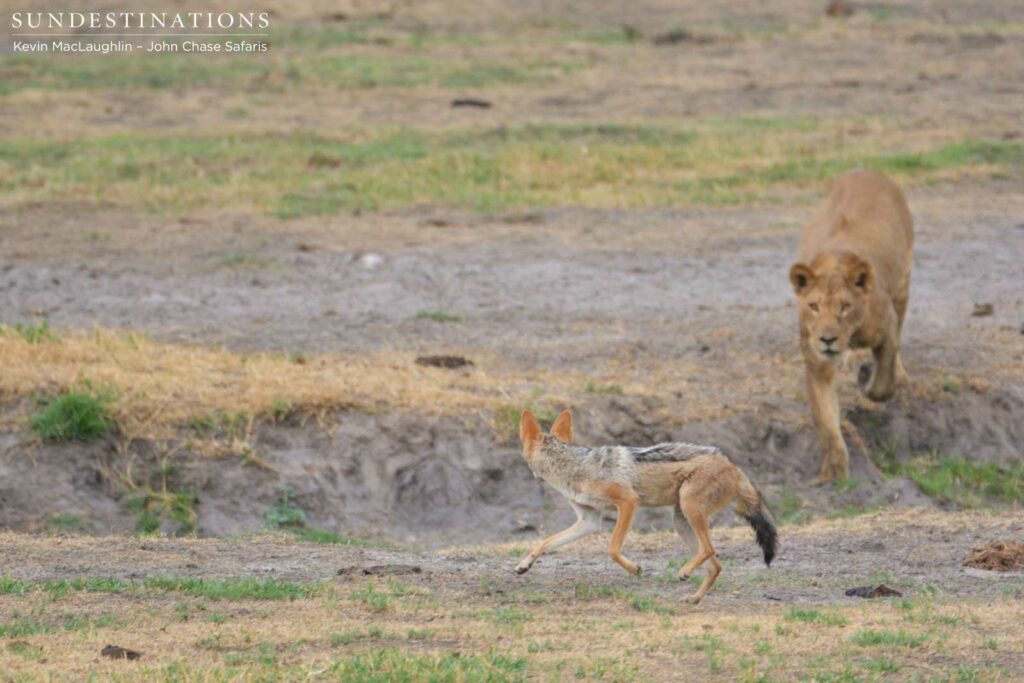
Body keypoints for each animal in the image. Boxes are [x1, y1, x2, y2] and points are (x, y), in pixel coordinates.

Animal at [788, 170, 913, 483]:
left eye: (844, 307)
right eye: (814, 306)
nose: (827, 339)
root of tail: (864, 170)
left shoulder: (887, 328)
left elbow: (883, 382)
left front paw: (869, 377)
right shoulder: (817, 364)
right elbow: (826, 420)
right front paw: (833, 473)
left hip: (902, 284)